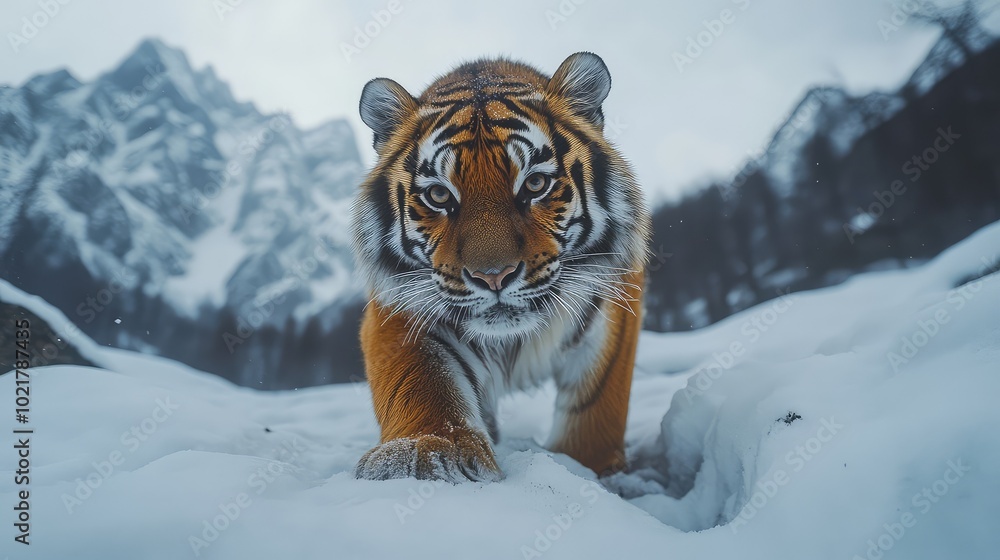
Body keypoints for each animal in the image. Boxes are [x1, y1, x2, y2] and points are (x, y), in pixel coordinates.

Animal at [351, 52, 650, 483]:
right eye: (439, 195)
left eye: (535, 184)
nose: (493, 276)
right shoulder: (402, 303)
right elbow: (421, 381)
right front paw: (429, 452)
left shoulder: (614, 296)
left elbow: (597, 410)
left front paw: (589, 469)